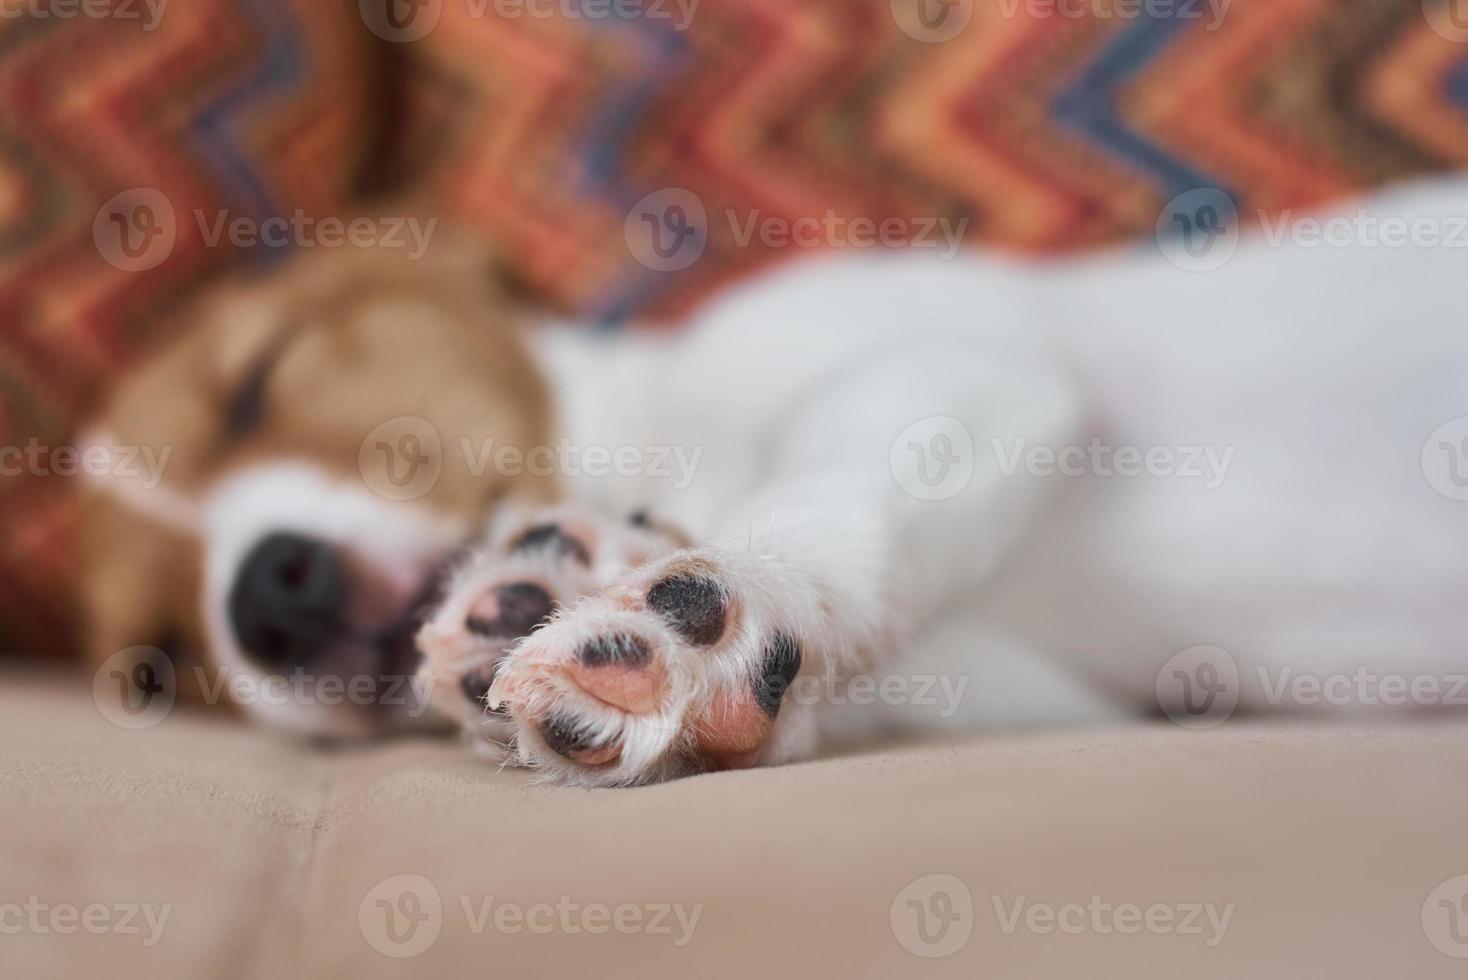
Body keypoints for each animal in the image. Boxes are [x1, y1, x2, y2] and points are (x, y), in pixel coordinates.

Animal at [83, 179, 1468, 786]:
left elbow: (826, 502)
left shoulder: (963, 375)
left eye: (254, 382)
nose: (266, 597)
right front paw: (554, 593)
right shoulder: (1039, 682)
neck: (673, 444)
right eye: (157, 661)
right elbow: (848, 674)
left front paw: (686, 617)